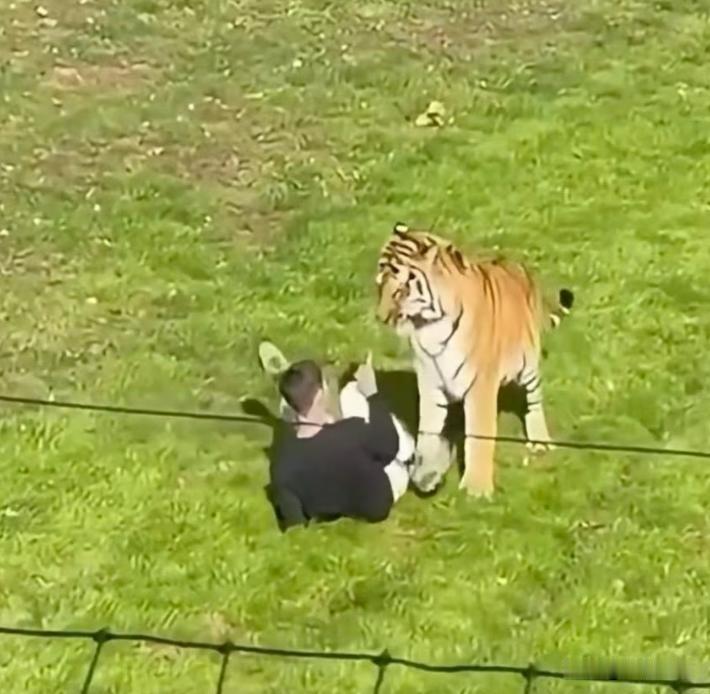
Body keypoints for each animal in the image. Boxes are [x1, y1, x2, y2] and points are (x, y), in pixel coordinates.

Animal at [375, 222, 574, 498]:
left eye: (401, 289)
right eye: (379, 284)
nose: (380, 317)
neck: (429, 327)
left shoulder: (480, 384)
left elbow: (478, 436)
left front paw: (476, 489)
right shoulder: (429, 382)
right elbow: (428, 431)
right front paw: (426, 476)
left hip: (528, 366)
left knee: (534, 401)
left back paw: (540, 441)